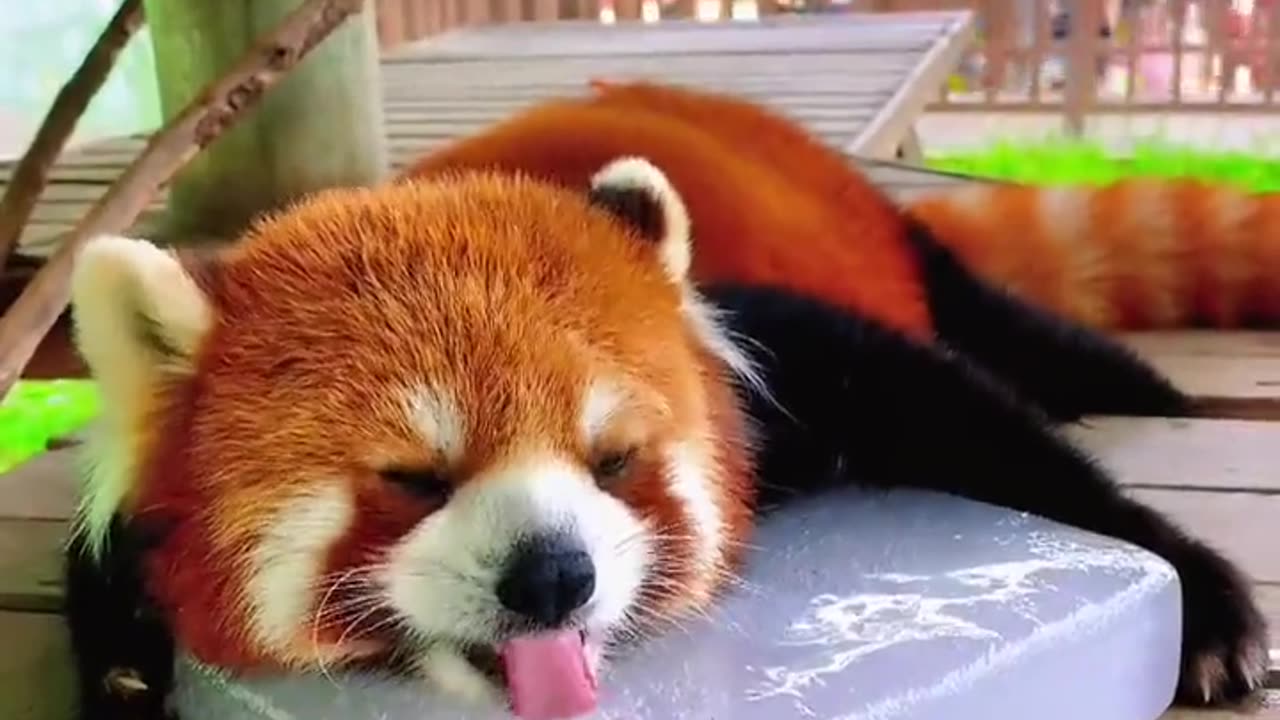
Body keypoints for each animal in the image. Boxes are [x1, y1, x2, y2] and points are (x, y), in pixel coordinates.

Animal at [62, 79, 1269, 717]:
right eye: (413, 479)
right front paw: (124, 674)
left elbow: (947, 408)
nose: (552, 577)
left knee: (1008, 331)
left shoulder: (773, 348)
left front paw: (1199, 597)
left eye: (613, 460)